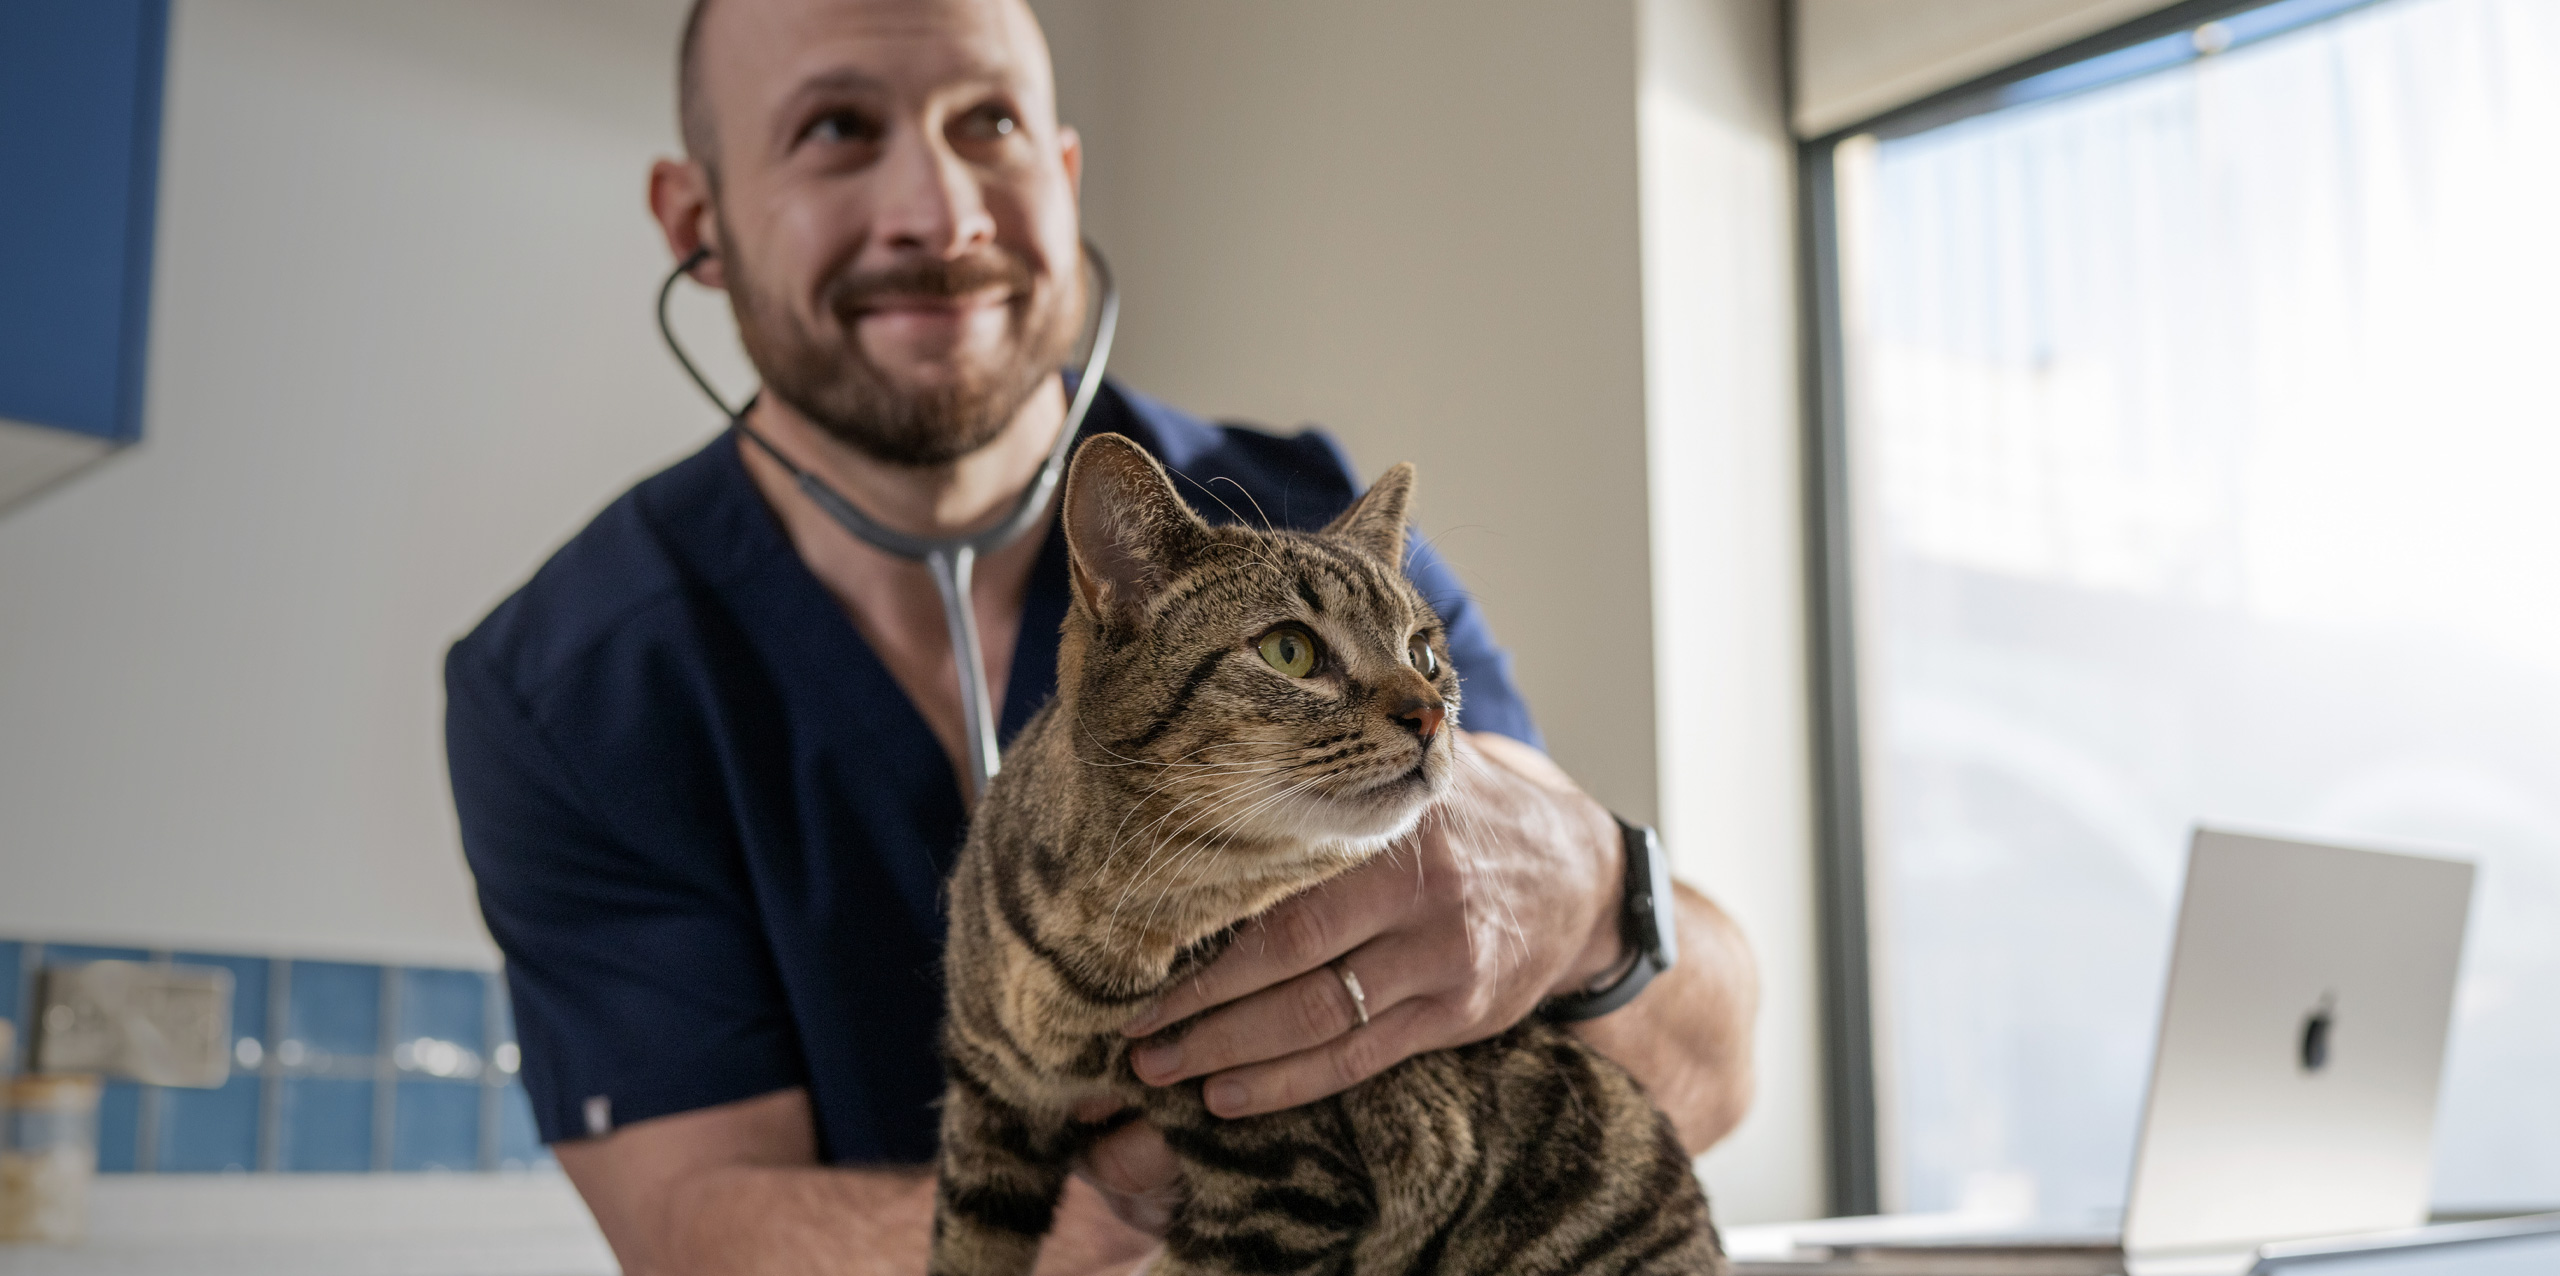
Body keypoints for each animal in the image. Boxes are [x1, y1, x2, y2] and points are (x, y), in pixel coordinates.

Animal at [931, 433, 1724, 1276]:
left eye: (1424, 653)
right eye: (1290, 650)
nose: (1431, 713)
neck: (1103, 945)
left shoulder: (1279, 1183)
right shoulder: (986, 1119)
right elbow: (963, 1252)